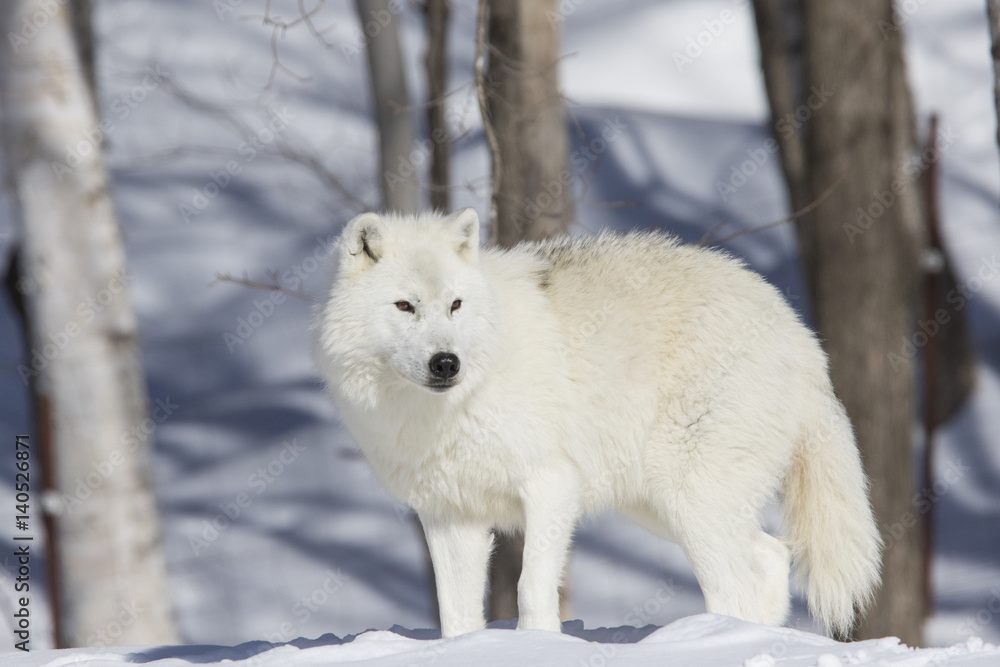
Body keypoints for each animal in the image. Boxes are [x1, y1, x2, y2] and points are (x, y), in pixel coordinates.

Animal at [315, 207, 881, 639]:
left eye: (455, 305)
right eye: (404, 306)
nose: (446, 363)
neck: (444, 410)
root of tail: (801, 336)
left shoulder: (552, 486)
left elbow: (530, 589)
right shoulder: (450, 515)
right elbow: (455, 616)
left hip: (689, 501)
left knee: (735, 587)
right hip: (661, 507)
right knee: (772, 555)